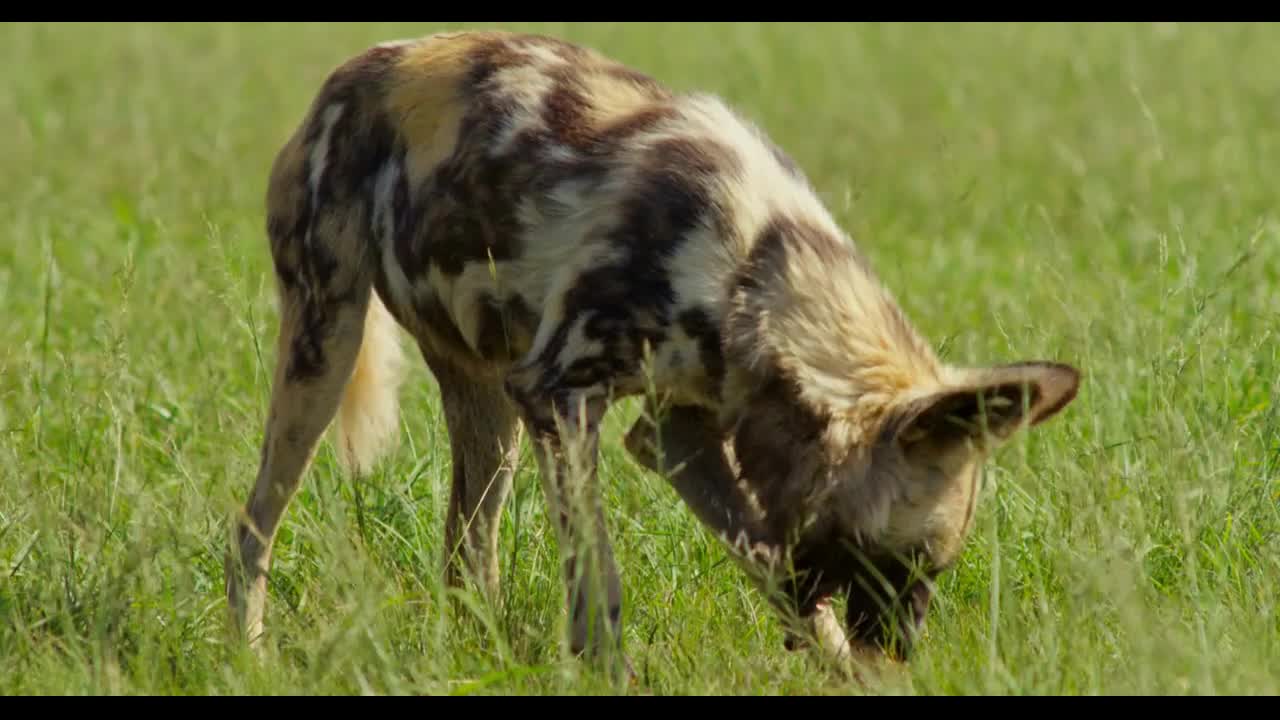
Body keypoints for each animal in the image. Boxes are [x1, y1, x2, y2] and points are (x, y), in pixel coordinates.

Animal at [227, 30, 1080, 676]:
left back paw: (483, 658)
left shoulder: (677, 432)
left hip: (488, 410)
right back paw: (250, 652)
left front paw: (837, 667)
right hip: (325, 347)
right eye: (910, 561)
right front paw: (610, 673)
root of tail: (357, 68)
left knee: (465, 556)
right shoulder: (561, 398)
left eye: (938, 568)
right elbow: (599, 580)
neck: (753, 270)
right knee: (252, 529)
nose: (902, 657)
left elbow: (771, 566)